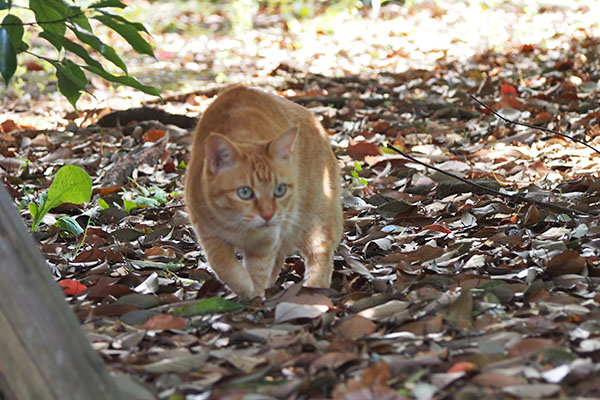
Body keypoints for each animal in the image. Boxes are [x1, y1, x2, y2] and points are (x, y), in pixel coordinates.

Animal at [183, 84, 342, 298]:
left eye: (279, 190)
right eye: (245, 192)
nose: (268, 215)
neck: (240, 228)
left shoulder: (268, 240)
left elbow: (259, 270)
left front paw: (254, 294)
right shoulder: (208, 233)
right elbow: (224, 265)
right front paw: (244, 286)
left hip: (314, 218)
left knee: (320, 253)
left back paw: (314, 289)